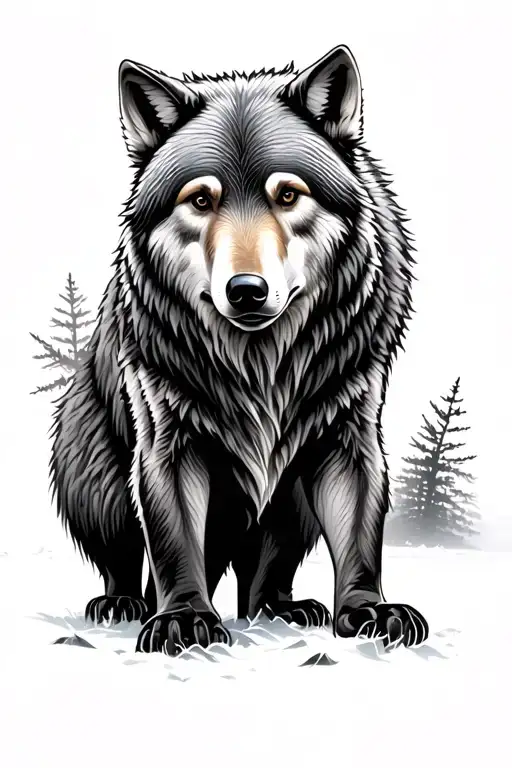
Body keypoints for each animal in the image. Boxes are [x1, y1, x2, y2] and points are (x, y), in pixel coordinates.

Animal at [51, 45, 428, 654]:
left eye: (288, 195)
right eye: (202, 199)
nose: (246, 290)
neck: (260, 364)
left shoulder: (350, 435)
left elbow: (359, 539)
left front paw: (368, 609)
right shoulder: (166, 441)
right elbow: (174, 543)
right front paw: (183, 618)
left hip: (290, 506)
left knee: (262, 578)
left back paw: (284, 610)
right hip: (94, 479)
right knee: (124, 559)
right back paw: (124, 604)